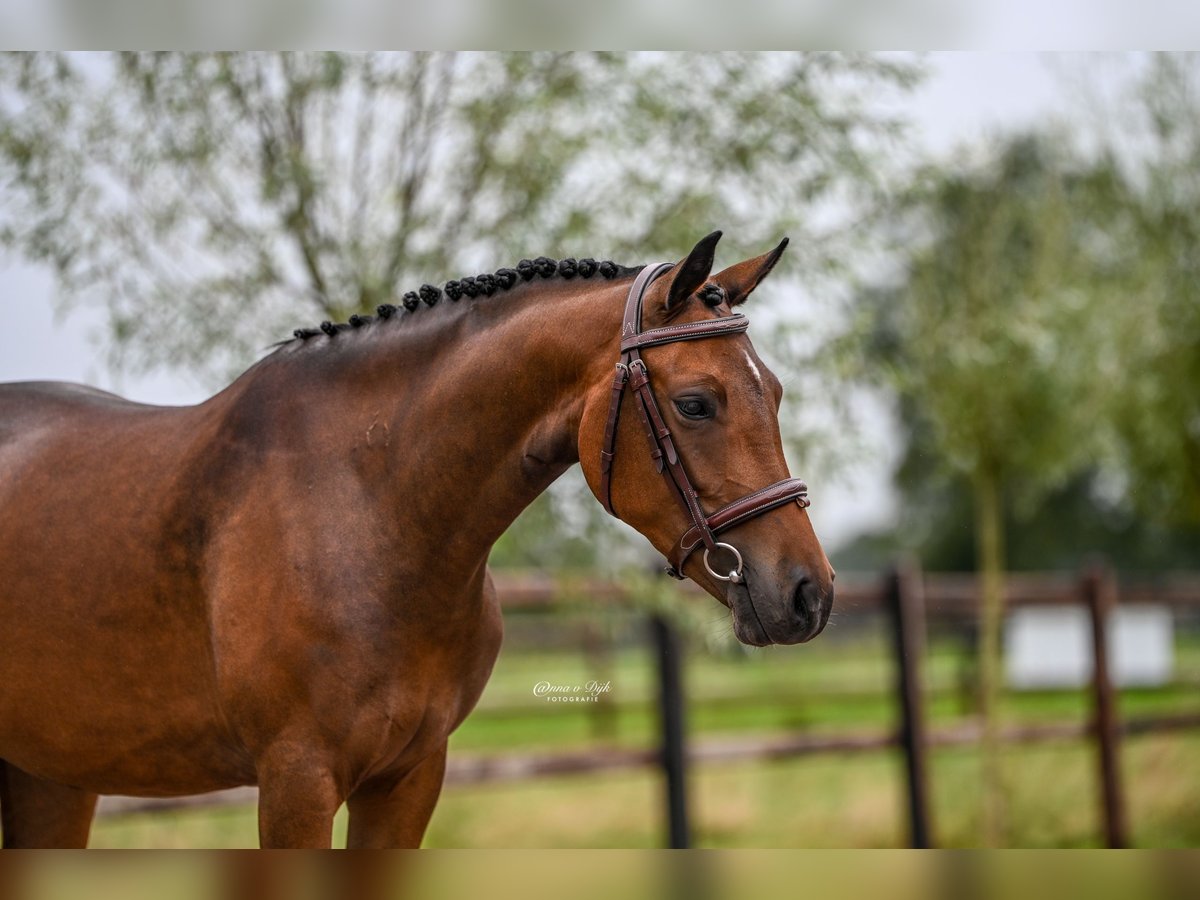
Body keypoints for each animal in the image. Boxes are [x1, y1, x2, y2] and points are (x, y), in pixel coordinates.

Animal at [2, 232, 835, 854]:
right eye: (696, 403)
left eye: (774, 393)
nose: (809, 594)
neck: (371, 515)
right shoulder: (296, 781)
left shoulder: (408, 778)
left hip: (52, 776)